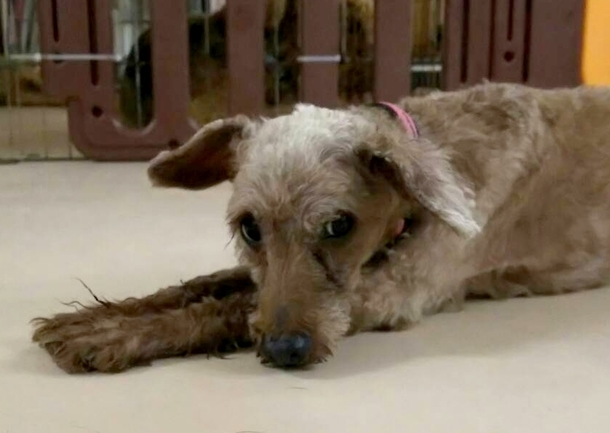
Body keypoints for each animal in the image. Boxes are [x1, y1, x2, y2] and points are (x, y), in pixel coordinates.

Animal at [32, 82, 610, 373]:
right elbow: (204, 285)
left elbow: (227, 308)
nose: (286, 351)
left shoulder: (394, 290)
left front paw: (111, 336)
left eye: (339, 225)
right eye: (249, 229)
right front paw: (101, 317)